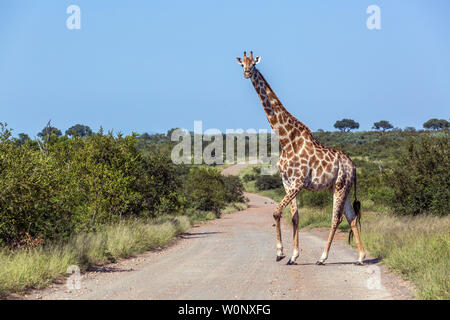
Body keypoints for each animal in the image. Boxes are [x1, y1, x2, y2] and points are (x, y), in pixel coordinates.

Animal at [236, 52, 366, 264]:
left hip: (340, 186)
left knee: (336, 218)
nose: (247, 73)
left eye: (254, 64)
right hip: (340, 188)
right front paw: (293, 256)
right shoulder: (287, 182)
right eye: (242, 64)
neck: (286, 139)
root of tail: (353, 166)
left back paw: (323, 257)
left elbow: (276, 212)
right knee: (351, 217)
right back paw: (361, 257)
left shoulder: (298, 182)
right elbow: (294, 217)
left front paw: (280, 253)